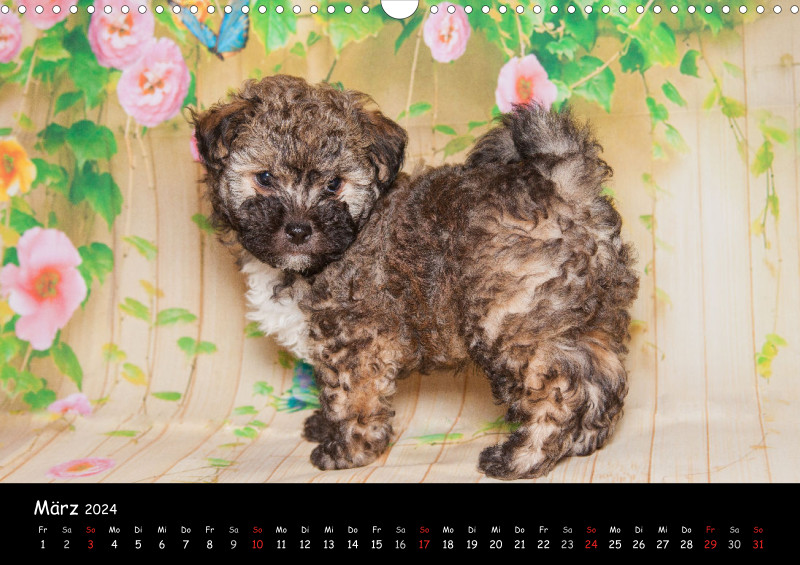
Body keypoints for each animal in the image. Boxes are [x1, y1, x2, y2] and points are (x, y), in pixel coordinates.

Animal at [193, 75, 639, 479]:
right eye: (265, 178)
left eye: (334, 185)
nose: (299, 229)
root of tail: (564, 187)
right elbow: (331, 388)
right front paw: (325, 425)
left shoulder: (358, 339)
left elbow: (353, 396)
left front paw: (348, 450)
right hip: (584, 315)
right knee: (602, 375)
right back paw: (585, 440)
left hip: (511, 321)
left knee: (554, 390)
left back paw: (522, 457)